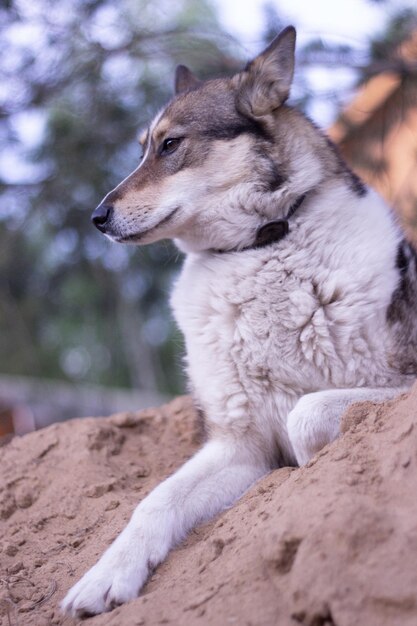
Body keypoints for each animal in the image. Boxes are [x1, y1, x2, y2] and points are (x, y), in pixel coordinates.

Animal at [61, 25, 416, 616]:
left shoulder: (399, 383)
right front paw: (106, 576)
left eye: (171, 145)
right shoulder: (237, 446)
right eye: (143, 149)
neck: (261, 248)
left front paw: (305, 463)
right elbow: (154, 501)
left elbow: (306, 415)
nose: (97, 218)